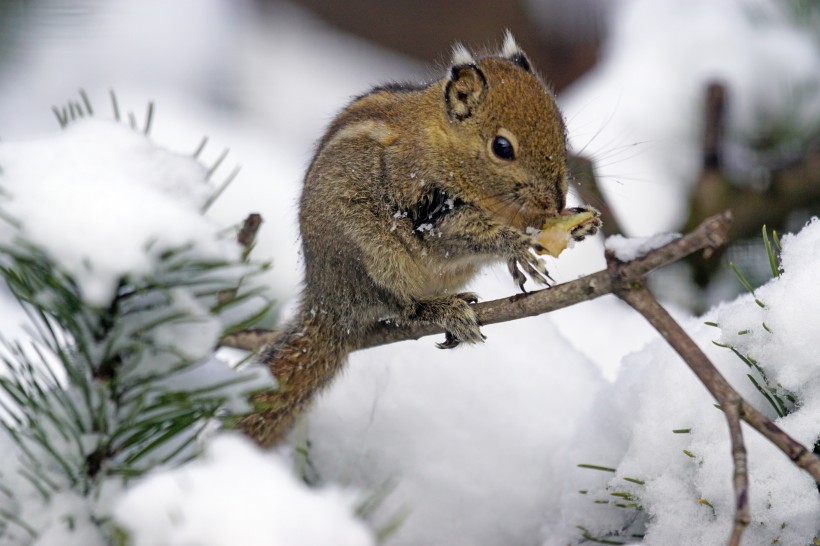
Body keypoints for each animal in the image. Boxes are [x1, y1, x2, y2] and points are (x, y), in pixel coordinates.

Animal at [240, 31, 600, 444]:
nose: (556, 201)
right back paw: (442, 311)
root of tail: (326, 304)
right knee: (401, 307)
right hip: (375, 259)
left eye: (562, 128)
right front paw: (518, 245)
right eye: (502, 147)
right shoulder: (425, 207)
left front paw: (577, 224)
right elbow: (467, 234)